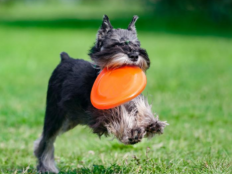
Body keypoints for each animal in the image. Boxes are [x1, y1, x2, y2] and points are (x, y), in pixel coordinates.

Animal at [34, 14, 167, 173]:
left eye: (136, 44)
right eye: (115, 44)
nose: (134, 55)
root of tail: (65, 58)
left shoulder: (131, 101)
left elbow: (140, 108)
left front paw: (152, 123)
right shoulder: (99, 115)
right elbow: (117, 115)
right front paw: (132, 131)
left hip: (69, 120)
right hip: (55, 115)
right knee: (46, 140)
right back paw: (46, 167)